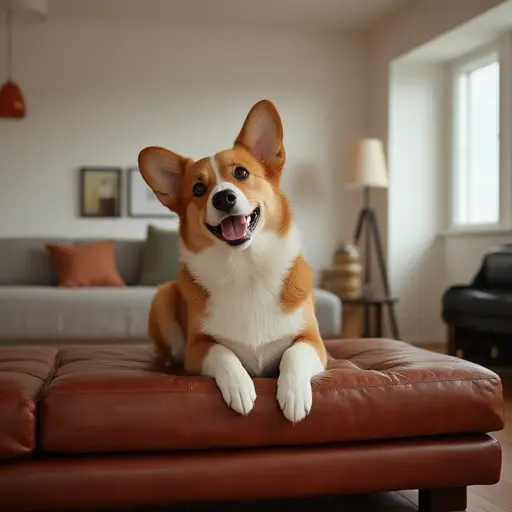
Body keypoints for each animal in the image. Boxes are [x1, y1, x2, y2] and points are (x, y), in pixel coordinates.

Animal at [138, 98, 326, 422]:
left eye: (241, 173)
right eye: (198, 189)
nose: (223, 198)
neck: (245, 267)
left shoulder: (314, 342)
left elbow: (295, 353)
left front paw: (294, 395)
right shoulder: (197, 349)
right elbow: (223, 352)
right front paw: (240, 387)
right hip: (162, 298)